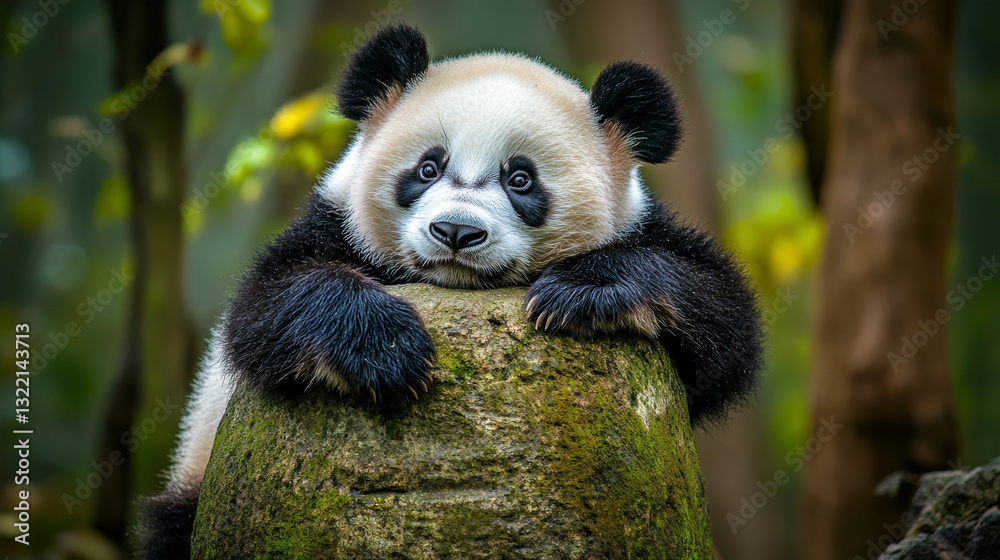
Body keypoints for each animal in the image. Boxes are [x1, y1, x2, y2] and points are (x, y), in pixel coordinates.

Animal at [137, 24, 764, 560]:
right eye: (428, 168)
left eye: (520, 179)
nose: (457, 232)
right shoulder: (333, 225)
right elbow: (267, 306)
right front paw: (387, 352)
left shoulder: (644, 232)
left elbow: (723, 326)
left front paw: (581, 292)